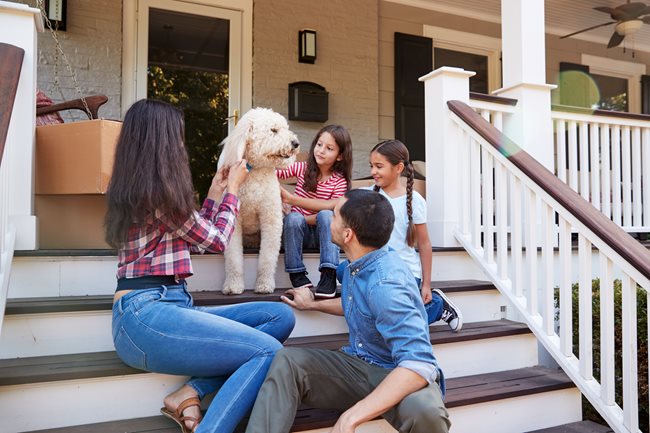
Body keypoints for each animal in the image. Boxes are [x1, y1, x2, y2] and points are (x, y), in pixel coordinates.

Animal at [218, 107, 298, 294]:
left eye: (286, 128)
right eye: (273, 130)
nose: (295, 143)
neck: (255, 171)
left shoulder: (271, 218)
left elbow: (268, 257)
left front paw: (264, 284)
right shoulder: (234, 219)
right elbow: (233, 259)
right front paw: (233, 285)